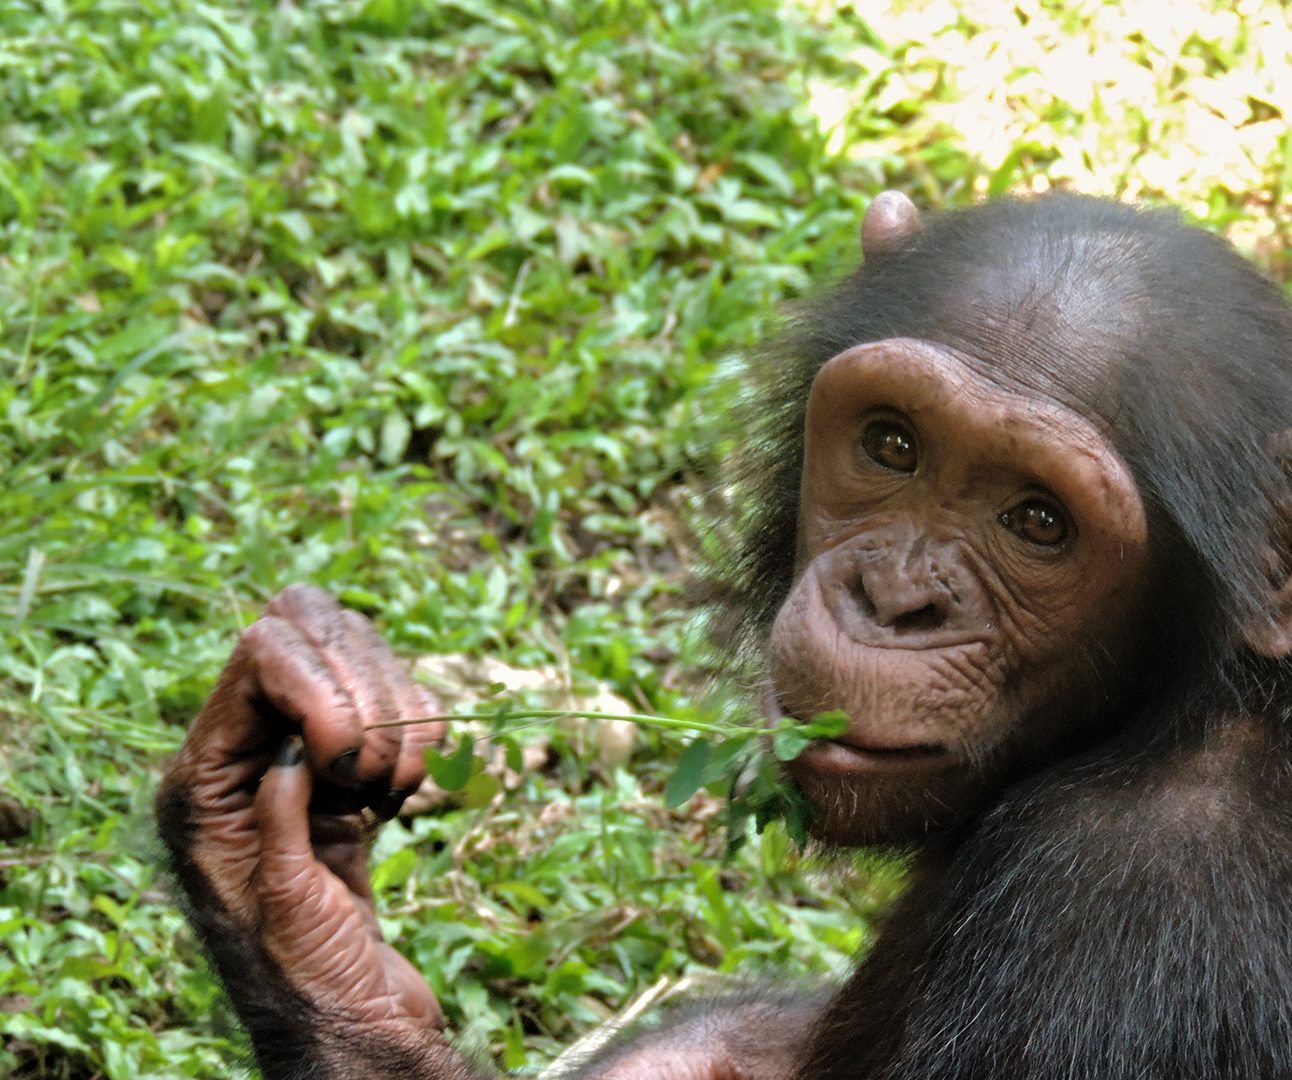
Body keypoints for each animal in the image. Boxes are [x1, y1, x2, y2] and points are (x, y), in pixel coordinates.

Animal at [156, 196, 1292, 1080]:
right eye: (892, 444)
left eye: (1039, 522)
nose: (893, 598)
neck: (1177, 707)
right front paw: (271, 845)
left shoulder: (1114, 902)